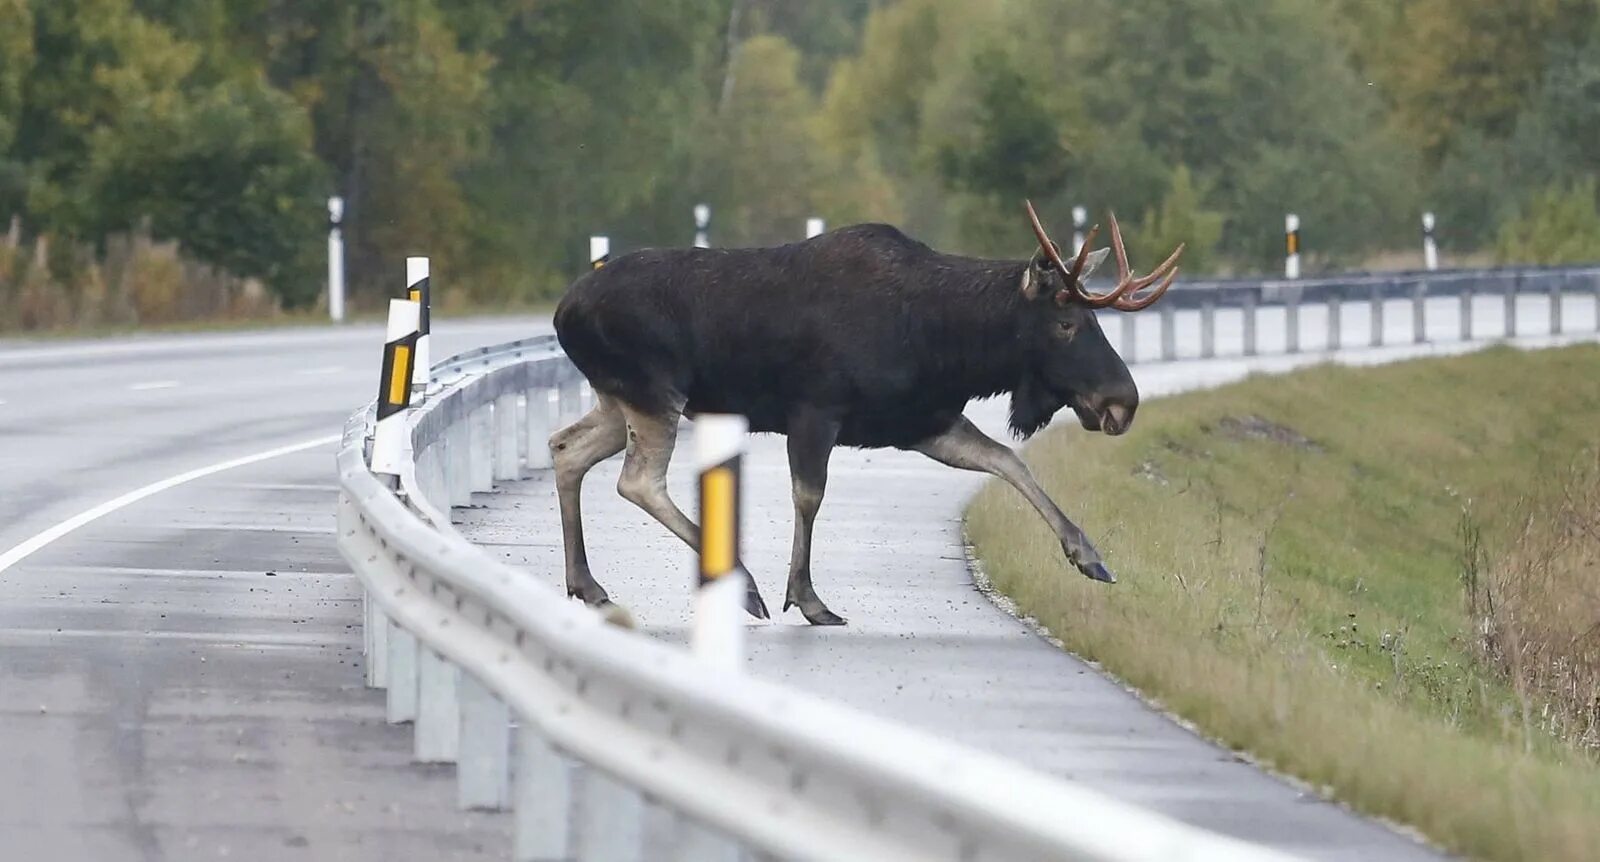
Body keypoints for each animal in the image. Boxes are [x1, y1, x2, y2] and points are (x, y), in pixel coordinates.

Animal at [550, 203, 1177, 626]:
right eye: (1066, 322)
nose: (1122, 401)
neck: (947, 344)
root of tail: (562, 310)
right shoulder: (815, 411)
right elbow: (809, 497)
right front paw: (807, 598)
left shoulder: (921, 422)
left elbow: (1007, 461)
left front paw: (1090, 556)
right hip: (656, 393)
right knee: (638, 481)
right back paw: (742, 584)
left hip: (618, 400)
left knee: (566, 448)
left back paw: (587, 583)